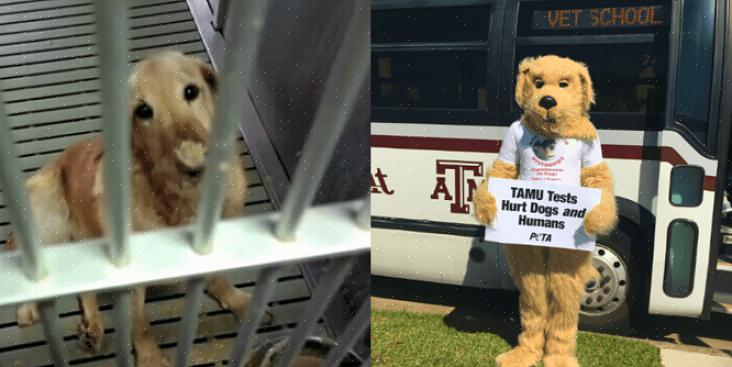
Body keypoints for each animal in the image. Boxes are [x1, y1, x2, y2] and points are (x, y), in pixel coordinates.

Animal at [7, 51, 260, 367]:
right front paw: (150, 357)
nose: (193, 166)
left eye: (191, 91)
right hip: (49, 210)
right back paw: (29, 307)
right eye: (143, 111)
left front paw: (238, 301)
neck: (182, 201)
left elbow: (219, 279)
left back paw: (92, 330)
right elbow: (140, 324)